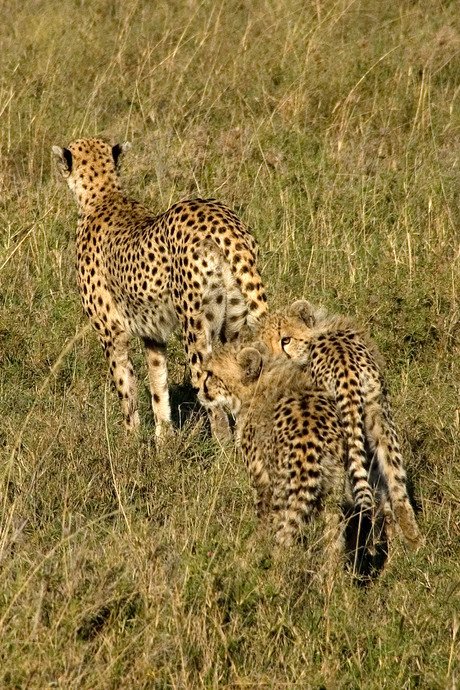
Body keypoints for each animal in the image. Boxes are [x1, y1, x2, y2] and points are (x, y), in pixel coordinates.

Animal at [52, 138, 268, 438]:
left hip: (195, 325)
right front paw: (163, 439)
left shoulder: (111, 333)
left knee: (208, 389)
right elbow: (158, 386)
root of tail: (220, 217)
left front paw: (130, 442)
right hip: (234, 325)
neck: (104, 197)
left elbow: (126, 390)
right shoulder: (153, 335)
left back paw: (222, 445)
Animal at [198, 342, 344, 544]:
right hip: (333, 489)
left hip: (283, 488)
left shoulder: (261, 476)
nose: (197, 389)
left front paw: (253, 544)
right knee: (334, 536)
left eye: (210, 373)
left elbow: (262, 514)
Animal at [253, 298, 422, 552]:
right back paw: (413, 540)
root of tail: (346, 367)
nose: (274, 362)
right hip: (379, 419)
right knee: (395, 481)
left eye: (286, 340)